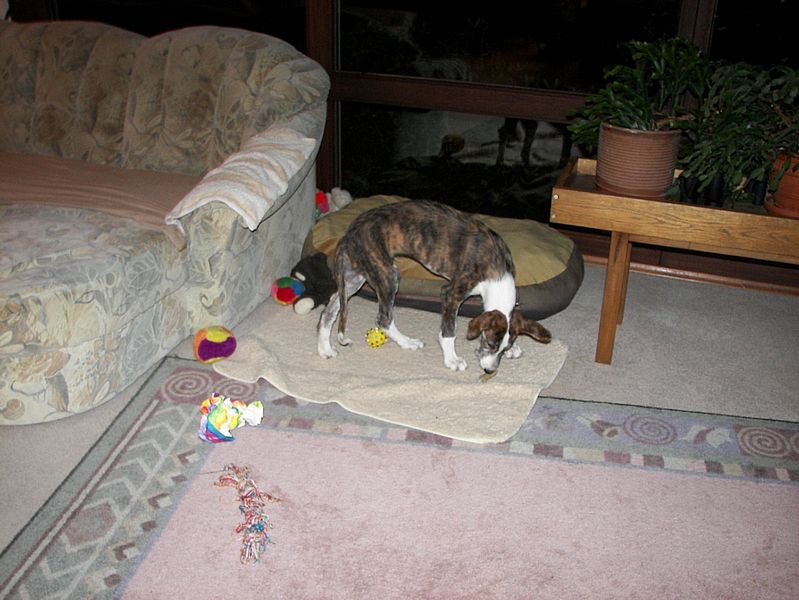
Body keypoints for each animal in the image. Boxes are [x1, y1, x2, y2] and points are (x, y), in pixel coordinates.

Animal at [316, 200, 552, 375]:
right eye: (491, 344)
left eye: (502, 348)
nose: (489, 371)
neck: (497, 272)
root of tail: (349, 233)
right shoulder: (451, 293)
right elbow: (449, 331)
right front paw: (452, 359)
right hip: (387, 274)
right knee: (382, 318)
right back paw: (407, 342)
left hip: (355, 277)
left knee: (330, 309)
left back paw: (324, 348)